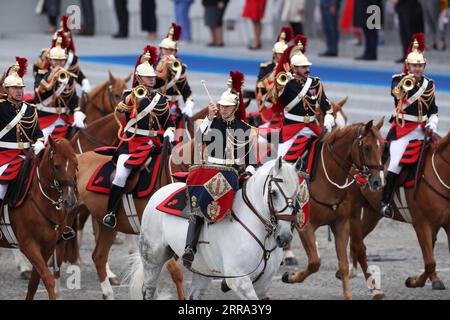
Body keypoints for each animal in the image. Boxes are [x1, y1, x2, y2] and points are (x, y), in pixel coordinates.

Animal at [0, 138, 78, 300]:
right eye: (56, 166)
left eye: (76, 164)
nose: (70, 201)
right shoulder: (28, 245)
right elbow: (48, 280)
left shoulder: (48, 246)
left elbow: (34, 282)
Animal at [126, 158, 300, 300]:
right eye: (274, 193)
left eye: (297, 193)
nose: (285, 237)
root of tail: (160, 192)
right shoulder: (240, 281)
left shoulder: (263, 283)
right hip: (152, 259)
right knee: (148, 290)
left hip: (202, 270)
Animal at [282, 120, 384, 300]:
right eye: (367, 147)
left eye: (382, 146)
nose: (377, 181)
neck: (325, 180)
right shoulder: (305, 226)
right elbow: (314, 262)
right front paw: (291, 276)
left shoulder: (341, 224)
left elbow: (343, 264)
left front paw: (348, 294)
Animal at [344, 129, 450, 298]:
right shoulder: (422, 224)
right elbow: (430, 262)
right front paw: (414, 281)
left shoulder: (445, 224)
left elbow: (430, 259)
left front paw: (423, 280)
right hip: (354, 208)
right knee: (356, 242)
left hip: (372, 213)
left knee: (358, 239)